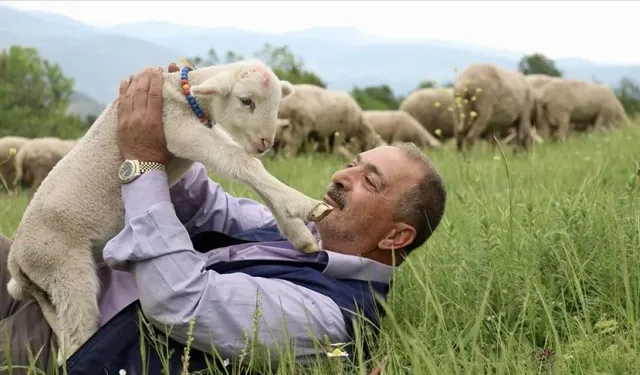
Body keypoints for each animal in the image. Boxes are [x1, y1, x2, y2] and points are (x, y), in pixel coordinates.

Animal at [6, 59, 330, 364]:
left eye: (277, 104)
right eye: (246, 101)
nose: (266, 143)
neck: (185, 97)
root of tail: (17, 262)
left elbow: (250, 169)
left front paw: (300, 234)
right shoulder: (177, 130)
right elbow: (242, 163)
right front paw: (304, 204)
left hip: (49, 290)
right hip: (63, 268)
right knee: (76, 335)